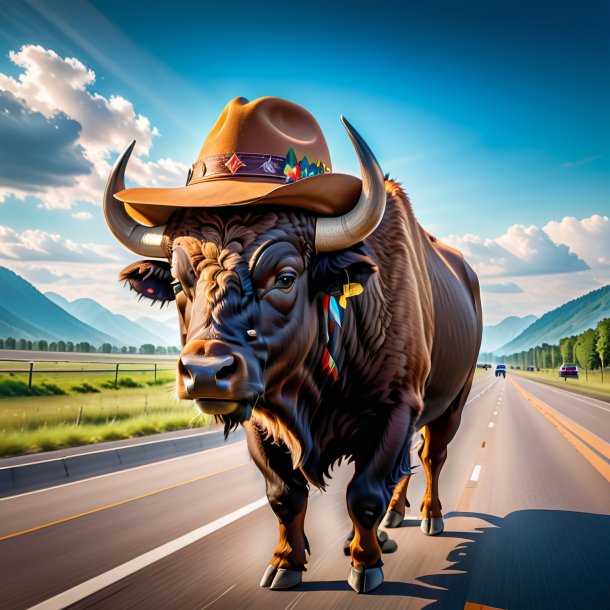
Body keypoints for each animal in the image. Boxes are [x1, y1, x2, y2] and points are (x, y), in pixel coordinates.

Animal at [102, 97, 480, 592]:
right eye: (181, 282)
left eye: (284, 277)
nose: (205, 373)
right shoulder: (261, 419)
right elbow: (285, 494)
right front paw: (286, 564)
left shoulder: (396, 408)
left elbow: (363, 494)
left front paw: (365, 565)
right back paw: (393, 521)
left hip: (452, 400)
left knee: (431, 456)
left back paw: (429, 518)